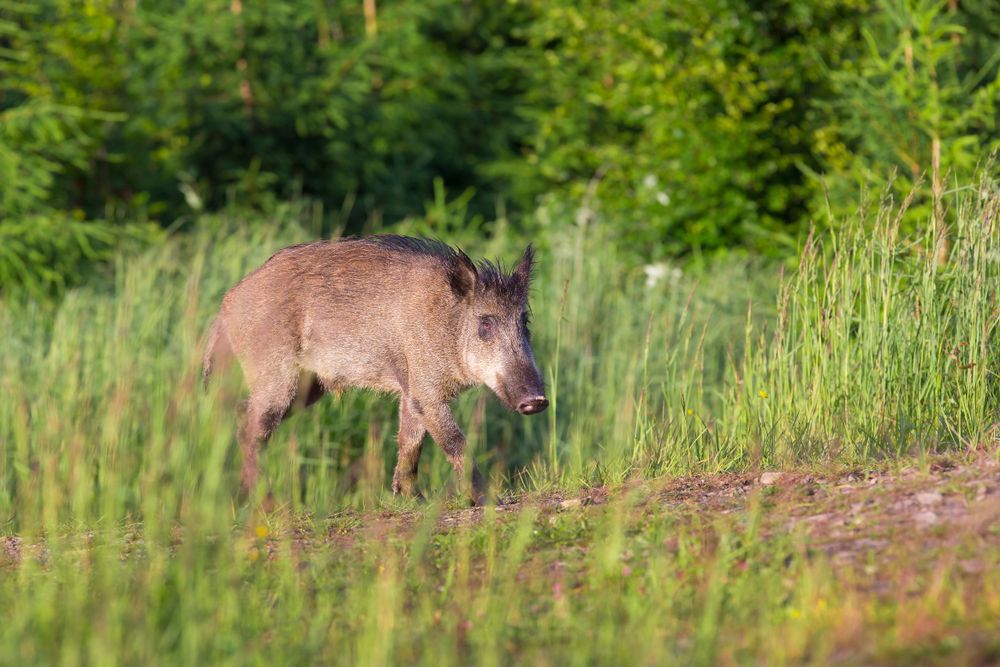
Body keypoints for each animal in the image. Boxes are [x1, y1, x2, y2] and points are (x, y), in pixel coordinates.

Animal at [202, 235, 547, 505]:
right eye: (485, 324)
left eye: (524, 321)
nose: (538, 400)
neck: (446, 324)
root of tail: (227, 303)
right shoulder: (426, 389)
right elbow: (454, 441)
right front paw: (491, 502)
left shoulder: (411, 389)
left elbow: (410, 440)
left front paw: (414, 500)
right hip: (275, 375)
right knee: (250, 427)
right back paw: (267, 503)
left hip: (307, 387)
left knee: (243, 415)